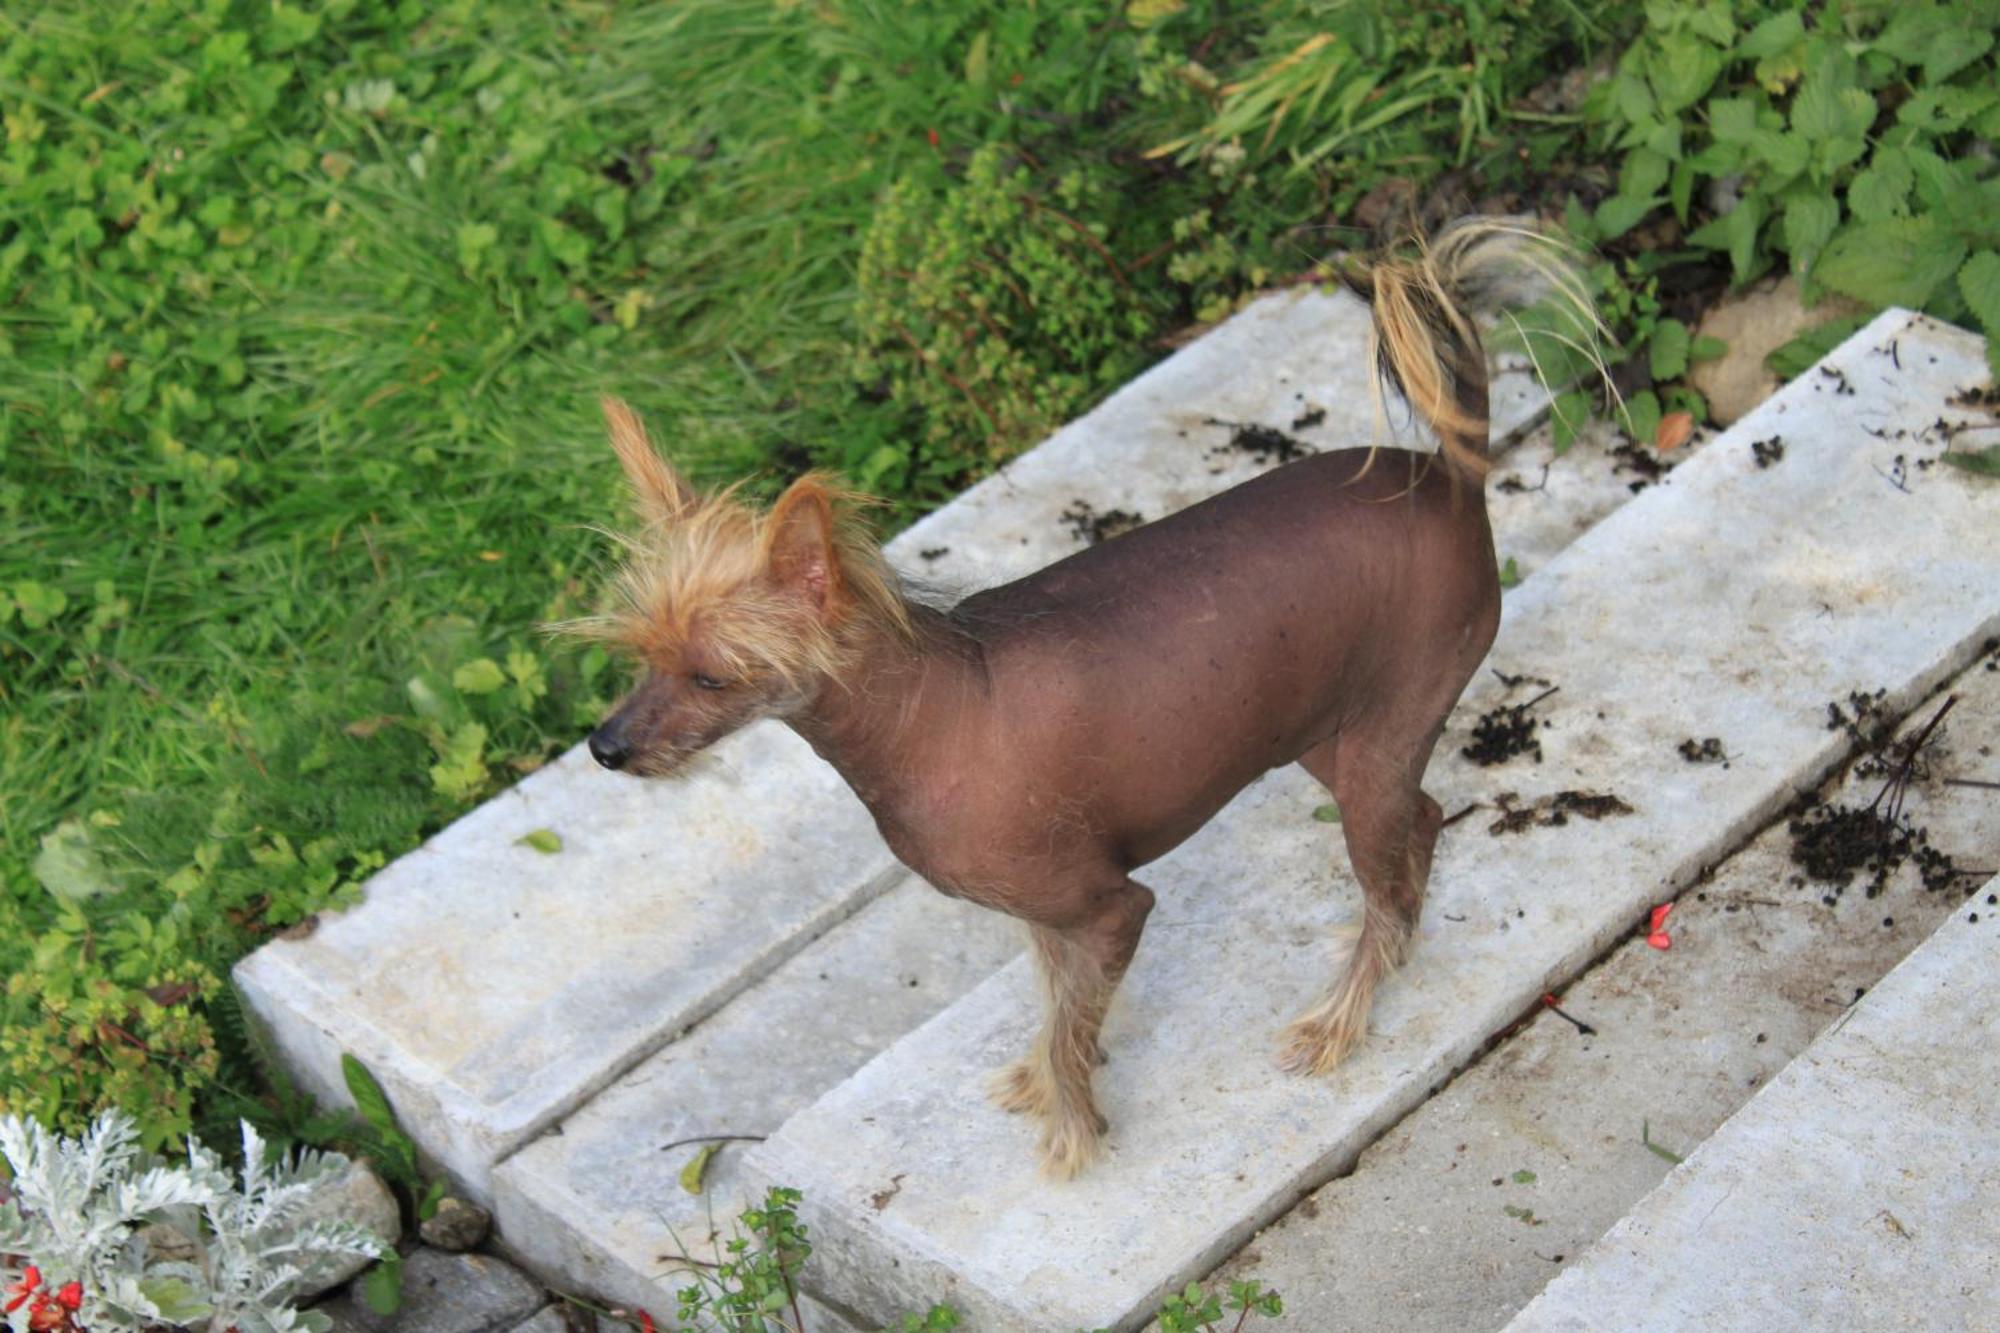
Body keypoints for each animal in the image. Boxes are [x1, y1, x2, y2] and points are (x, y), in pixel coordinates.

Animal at [580, 218, 1592, 1176]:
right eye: (641, 660)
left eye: (712, 674)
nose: (603, 748)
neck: (927, 711)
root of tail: (1450, 477)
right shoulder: (1046, 915)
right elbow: (1057, 1000)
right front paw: (1043, 1078)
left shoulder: (1110, 908)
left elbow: (1073, 1020)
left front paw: (1072, 1130)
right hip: (1328, 740)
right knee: (1423, 821)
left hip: (1378, 742)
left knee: (1392, 849)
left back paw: (1341, 1016)